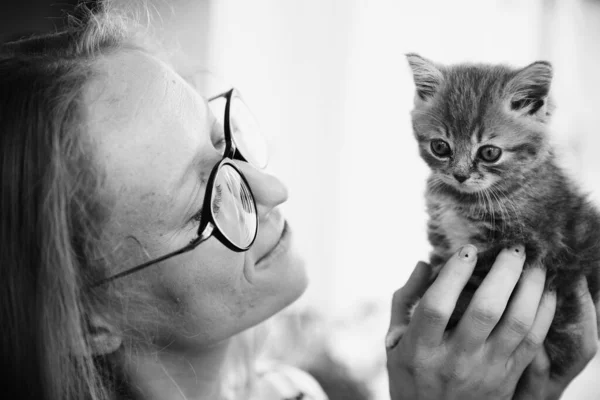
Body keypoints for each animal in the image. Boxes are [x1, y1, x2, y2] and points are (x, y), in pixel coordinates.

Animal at [394, 54, 600, 376]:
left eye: (490, 152)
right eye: (440, 147)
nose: (460, 175)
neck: (467, 200)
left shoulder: (529, 247)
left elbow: (472, 284)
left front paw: (412, 318)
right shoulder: (444, 242)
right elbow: (439, 272)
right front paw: (402, 327)